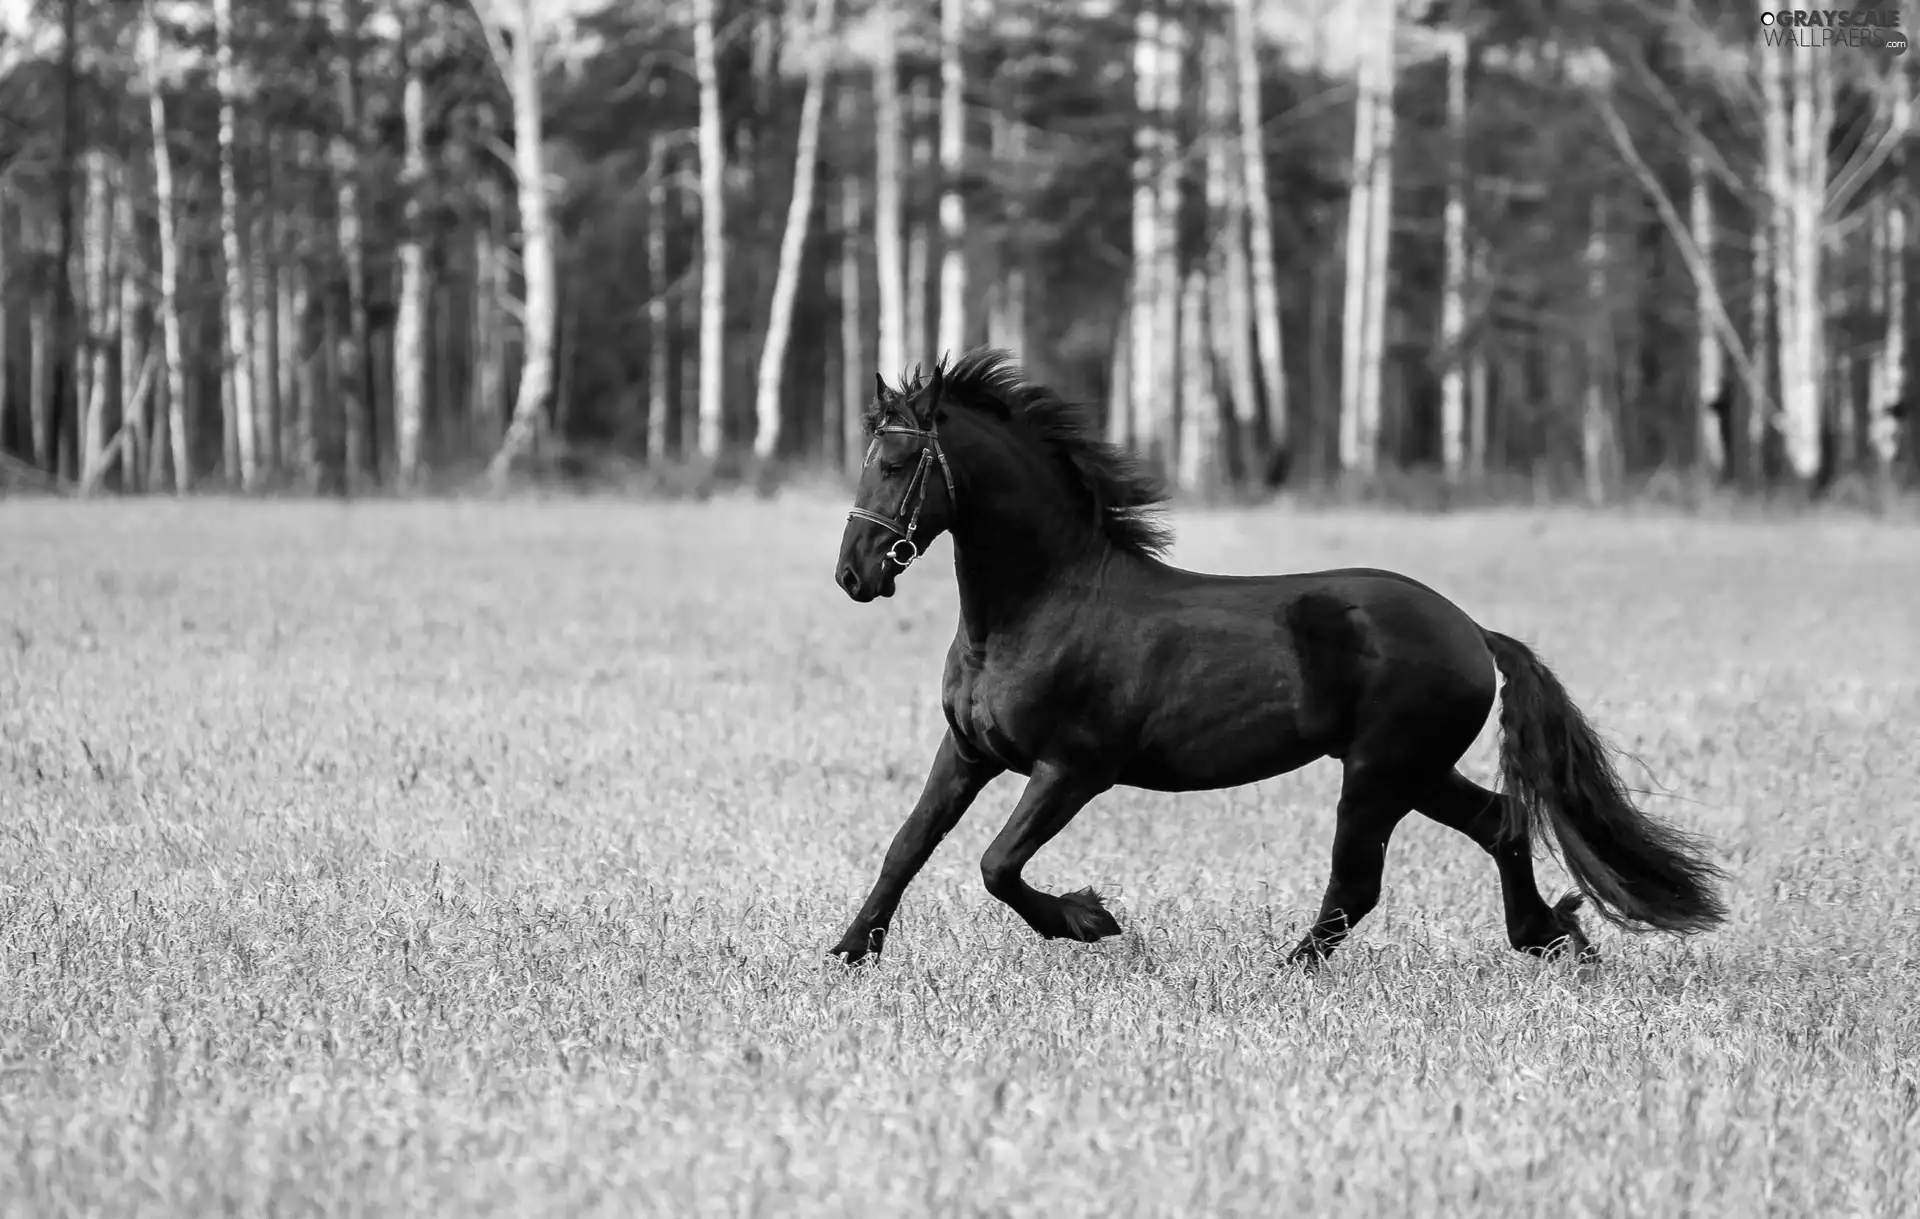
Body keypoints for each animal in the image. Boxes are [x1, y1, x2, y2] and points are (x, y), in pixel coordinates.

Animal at [825, 347, 1728, 967]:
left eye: (899, 462)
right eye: (863, 460)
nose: (855, 574)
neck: (1036, 609)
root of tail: (1473, 631)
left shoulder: (1073, 768)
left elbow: (997, 863)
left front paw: (1090, 919)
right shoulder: (968, 751)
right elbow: (908, 845)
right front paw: (850, 950)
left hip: (1380, 772)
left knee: (1358, 880)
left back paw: (1286, 970)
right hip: (1417, 771)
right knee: (1500, 823)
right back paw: (1550, 937)